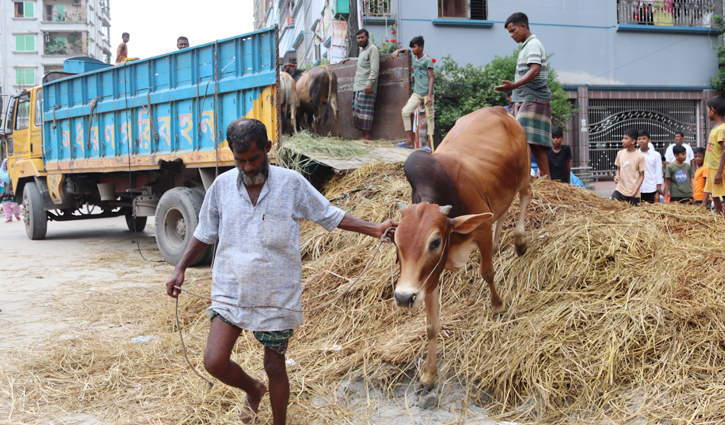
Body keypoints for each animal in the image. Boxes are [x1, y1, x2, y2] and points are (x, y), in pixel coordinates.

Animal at [394, 106, 528, 390]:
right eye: (396, 242)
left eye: (435, 242)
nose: (402, 297)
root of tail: (499, 109)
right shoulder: (429, 277)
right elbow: (431, 325)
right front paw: (429, 374)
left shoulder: (481, 230)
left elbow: (487, 272)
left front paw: (498, 306)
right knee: (502, 211)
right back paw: (500, 244)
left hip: (524, 173)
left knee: (524, 197)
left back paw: (520, 240)